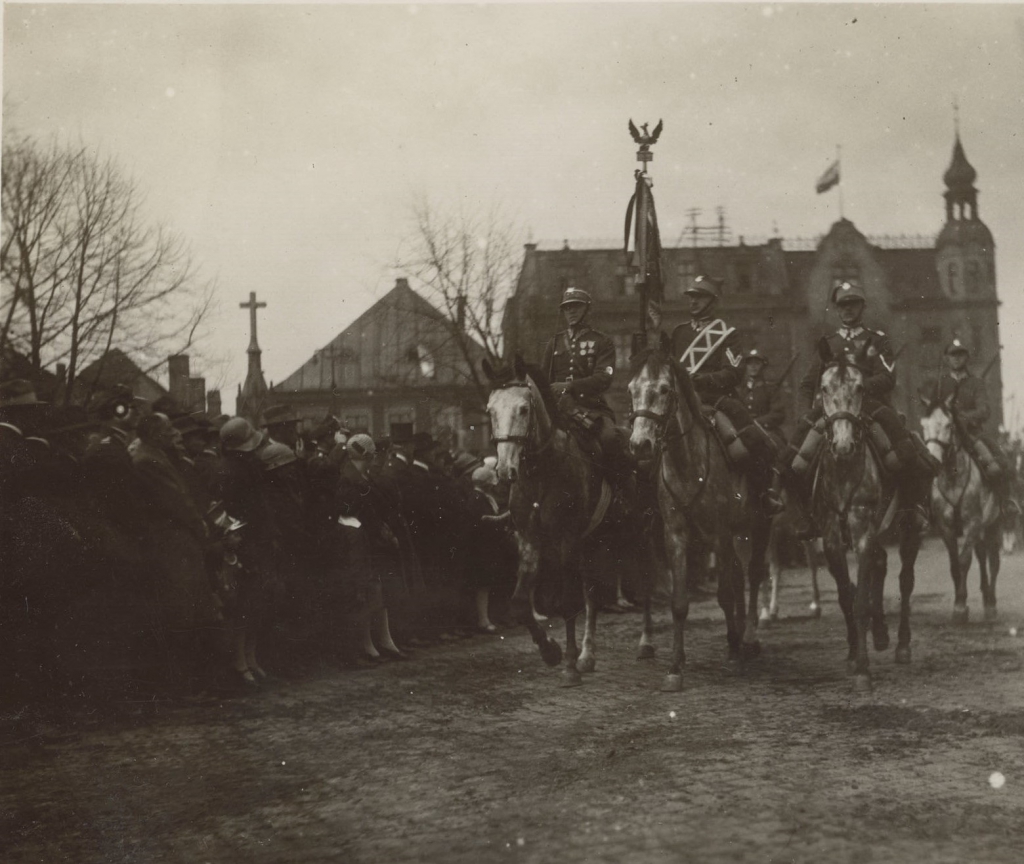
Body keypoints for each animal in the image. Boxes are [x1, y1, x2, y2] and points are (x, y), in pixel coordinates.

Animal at [481, 354, 647, 683]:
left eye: (523, 408)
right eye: (490, 410)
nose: (505, 470)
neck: (542, 470)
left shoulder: (567, 539)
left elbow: (566, 602)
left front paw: (568, 664)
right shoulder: (529, 539)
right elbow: (521, 602)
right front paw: (551, 651)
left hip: (638, 534)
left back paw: (646, 644)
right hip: (594, 542)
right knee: (593, 594)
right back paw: (588, 655)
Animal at [622, 333, 770, 692]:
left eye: (664, 389)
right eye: (631, 389)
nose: (640, 445)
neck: (687, 462)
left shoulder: (719, 534)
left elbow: (725, 593)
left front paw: (734, 654)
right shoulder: (674, 534)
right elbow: (679, 602)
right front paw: (675, 667)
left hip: (759, 528)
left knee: (753, 575)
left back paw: (747, 638)